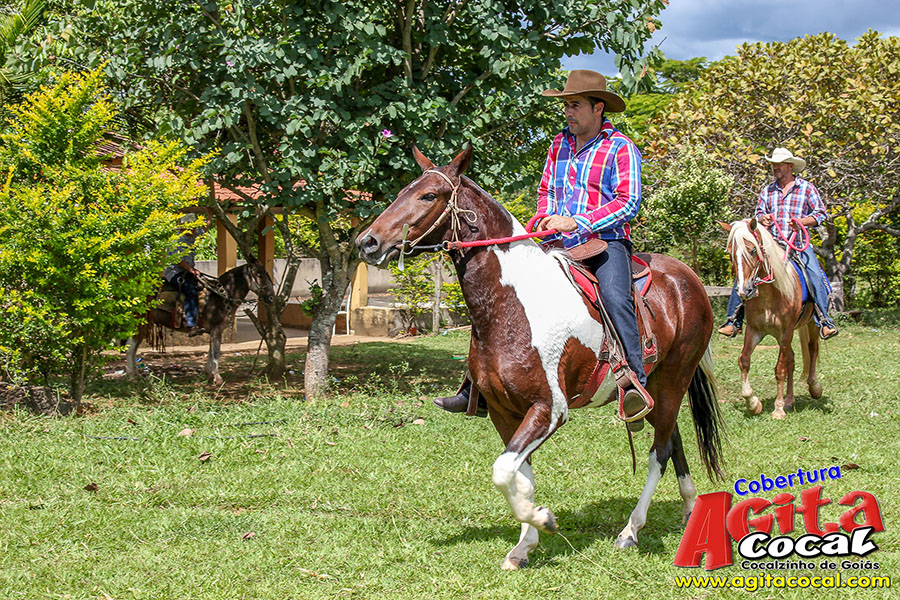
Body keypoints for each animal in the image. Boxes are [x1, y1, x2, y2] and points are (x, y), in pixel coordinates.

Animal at [125, 257, 275, 385]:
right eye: (259, 274)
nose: (271, 297)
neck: (220, 296)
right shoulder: (216, 329)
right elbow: (216, 352)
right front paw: (217, 377)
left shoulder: (214, 330)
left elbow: (211, 351)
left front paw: (209, 373)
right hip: (139, 324)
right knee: (130, 347)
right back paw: (132, 375)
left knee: (133, 347)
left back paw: (135, 374)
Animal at [356, 146, 725, 570]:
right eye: (404, 190)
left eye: (428, 195)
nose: (367, 242)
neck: (512, 305)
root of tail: (687, 277)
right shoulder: (504, 412)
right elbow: (519, 474)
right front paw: (523, 546)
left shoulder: (549, 409)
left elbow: (503, 470)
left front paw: (543, 520)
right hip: (656, 390)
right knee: (673, 440)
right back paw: (690, 509)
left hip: (675, 378)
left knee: (659, 451)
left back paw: (631, 530)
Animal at [721, 218, 822, 419]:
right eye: (730, 253)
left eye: (753, 250)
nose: (744, 290)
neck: (770, 294)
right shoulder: (754, 330)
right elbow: (744, 360)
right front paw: (753, 403)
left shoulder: (786, 331)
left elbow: (779, 369)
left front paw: (778, 409)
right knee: (791, 359)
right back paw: (790, 399)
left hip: (810, 326)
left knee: (812, 350)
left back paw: (814, 387)